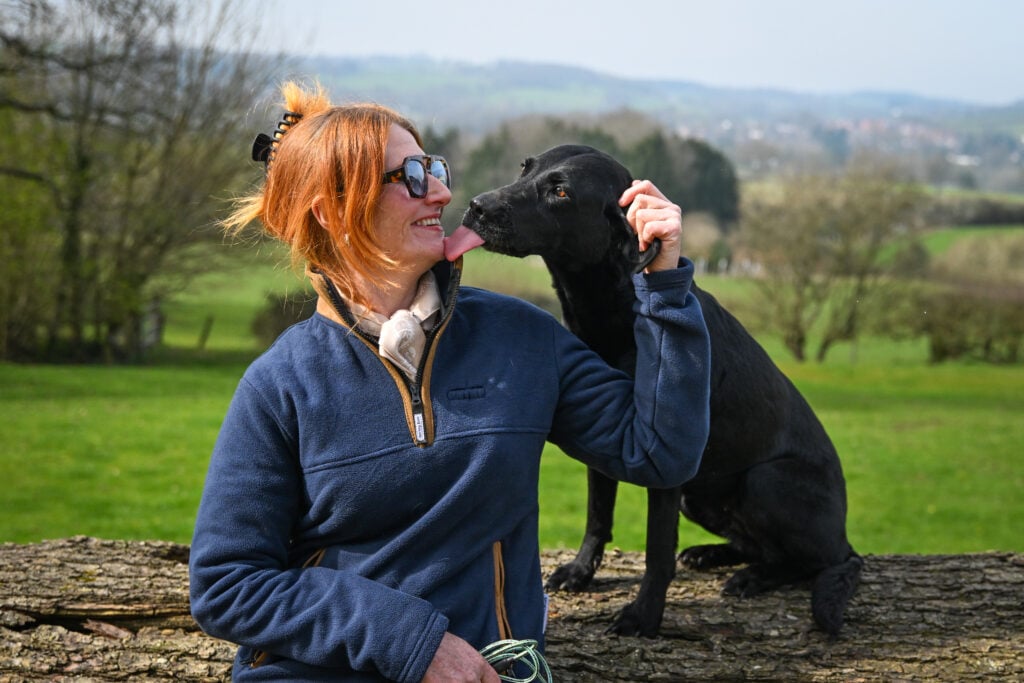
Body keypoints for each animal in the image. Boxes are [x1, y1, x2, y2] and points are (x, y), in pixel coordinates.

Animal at [456, 144, 862, 638]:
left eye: (561, 192)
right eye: (524, 169)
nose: (476, 206)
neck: (613, 309)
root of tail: (844, 537)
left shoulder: (663, 460)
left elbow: (656, 550)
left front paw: (643, 616)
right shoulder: (607, 440)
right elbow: (598, 514)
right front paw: (580, 571)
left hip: (766, 481)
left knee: (811, 561)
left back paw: (752, 578)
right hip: (701, 498)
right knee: (760, 544)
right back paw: (710, 555)